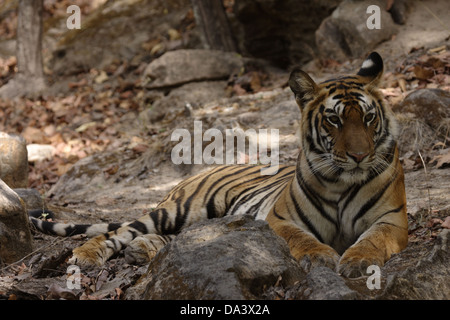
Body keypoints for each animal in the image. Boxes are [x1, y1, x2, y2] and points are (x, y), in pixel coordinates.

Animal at [30, 52, 408, 278]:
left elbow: (373, 240)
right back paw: (86, 254)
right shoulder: (282, 219)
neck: (344, 180)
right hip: (182, 209)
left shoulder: (391, 220)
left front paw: (358, 260)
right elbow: (303, 239)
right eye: (334, 120)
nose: (360, 156)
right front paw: (319, 256)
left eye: (369, 118)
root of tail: (203, 169)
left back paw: (141, 251)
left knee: (171, 238)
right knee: (117, 232)